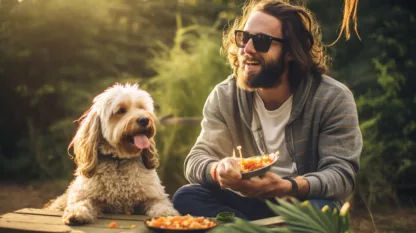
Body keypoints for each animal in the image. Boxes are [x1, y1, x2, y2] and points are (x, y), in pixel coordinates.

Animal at [46, 83, 179, 225]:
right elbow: (82, 202)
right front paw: (77, 212)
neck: (119, 161)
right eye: (121, 110)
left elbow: (161, 204)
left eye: (141, 108)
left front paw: (166, 214)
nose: (144, 120)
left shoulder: (154, 195)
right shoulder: (84, 195)